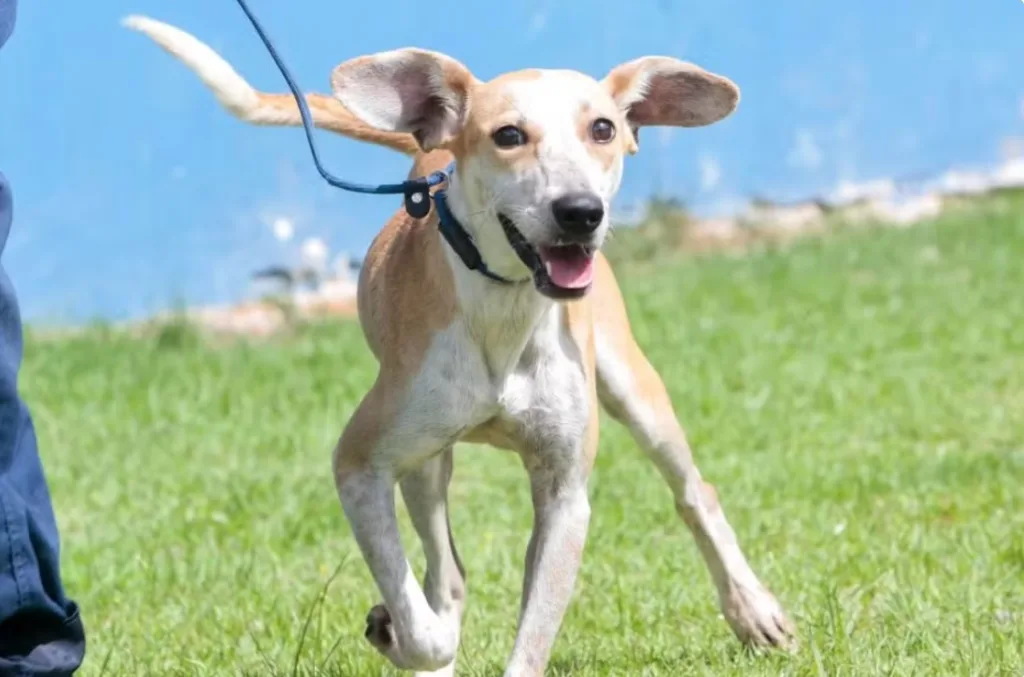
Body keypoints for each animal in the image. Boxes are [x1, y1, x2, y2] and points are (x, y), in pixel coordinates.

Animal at [123, 15, 794, 675]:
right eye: (508, 135)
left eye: (602, 128)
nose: (580, 212)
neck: (502, 309)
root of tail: (432, 150)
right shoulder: (361, 465)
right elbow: (424, 614)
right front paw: (405, 634)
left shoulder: (564, 493)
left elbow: (532, 631)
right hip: (425, 459)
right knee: (445, 570)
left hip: (633, 386)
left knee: (693, 491)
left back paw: (752, 608)